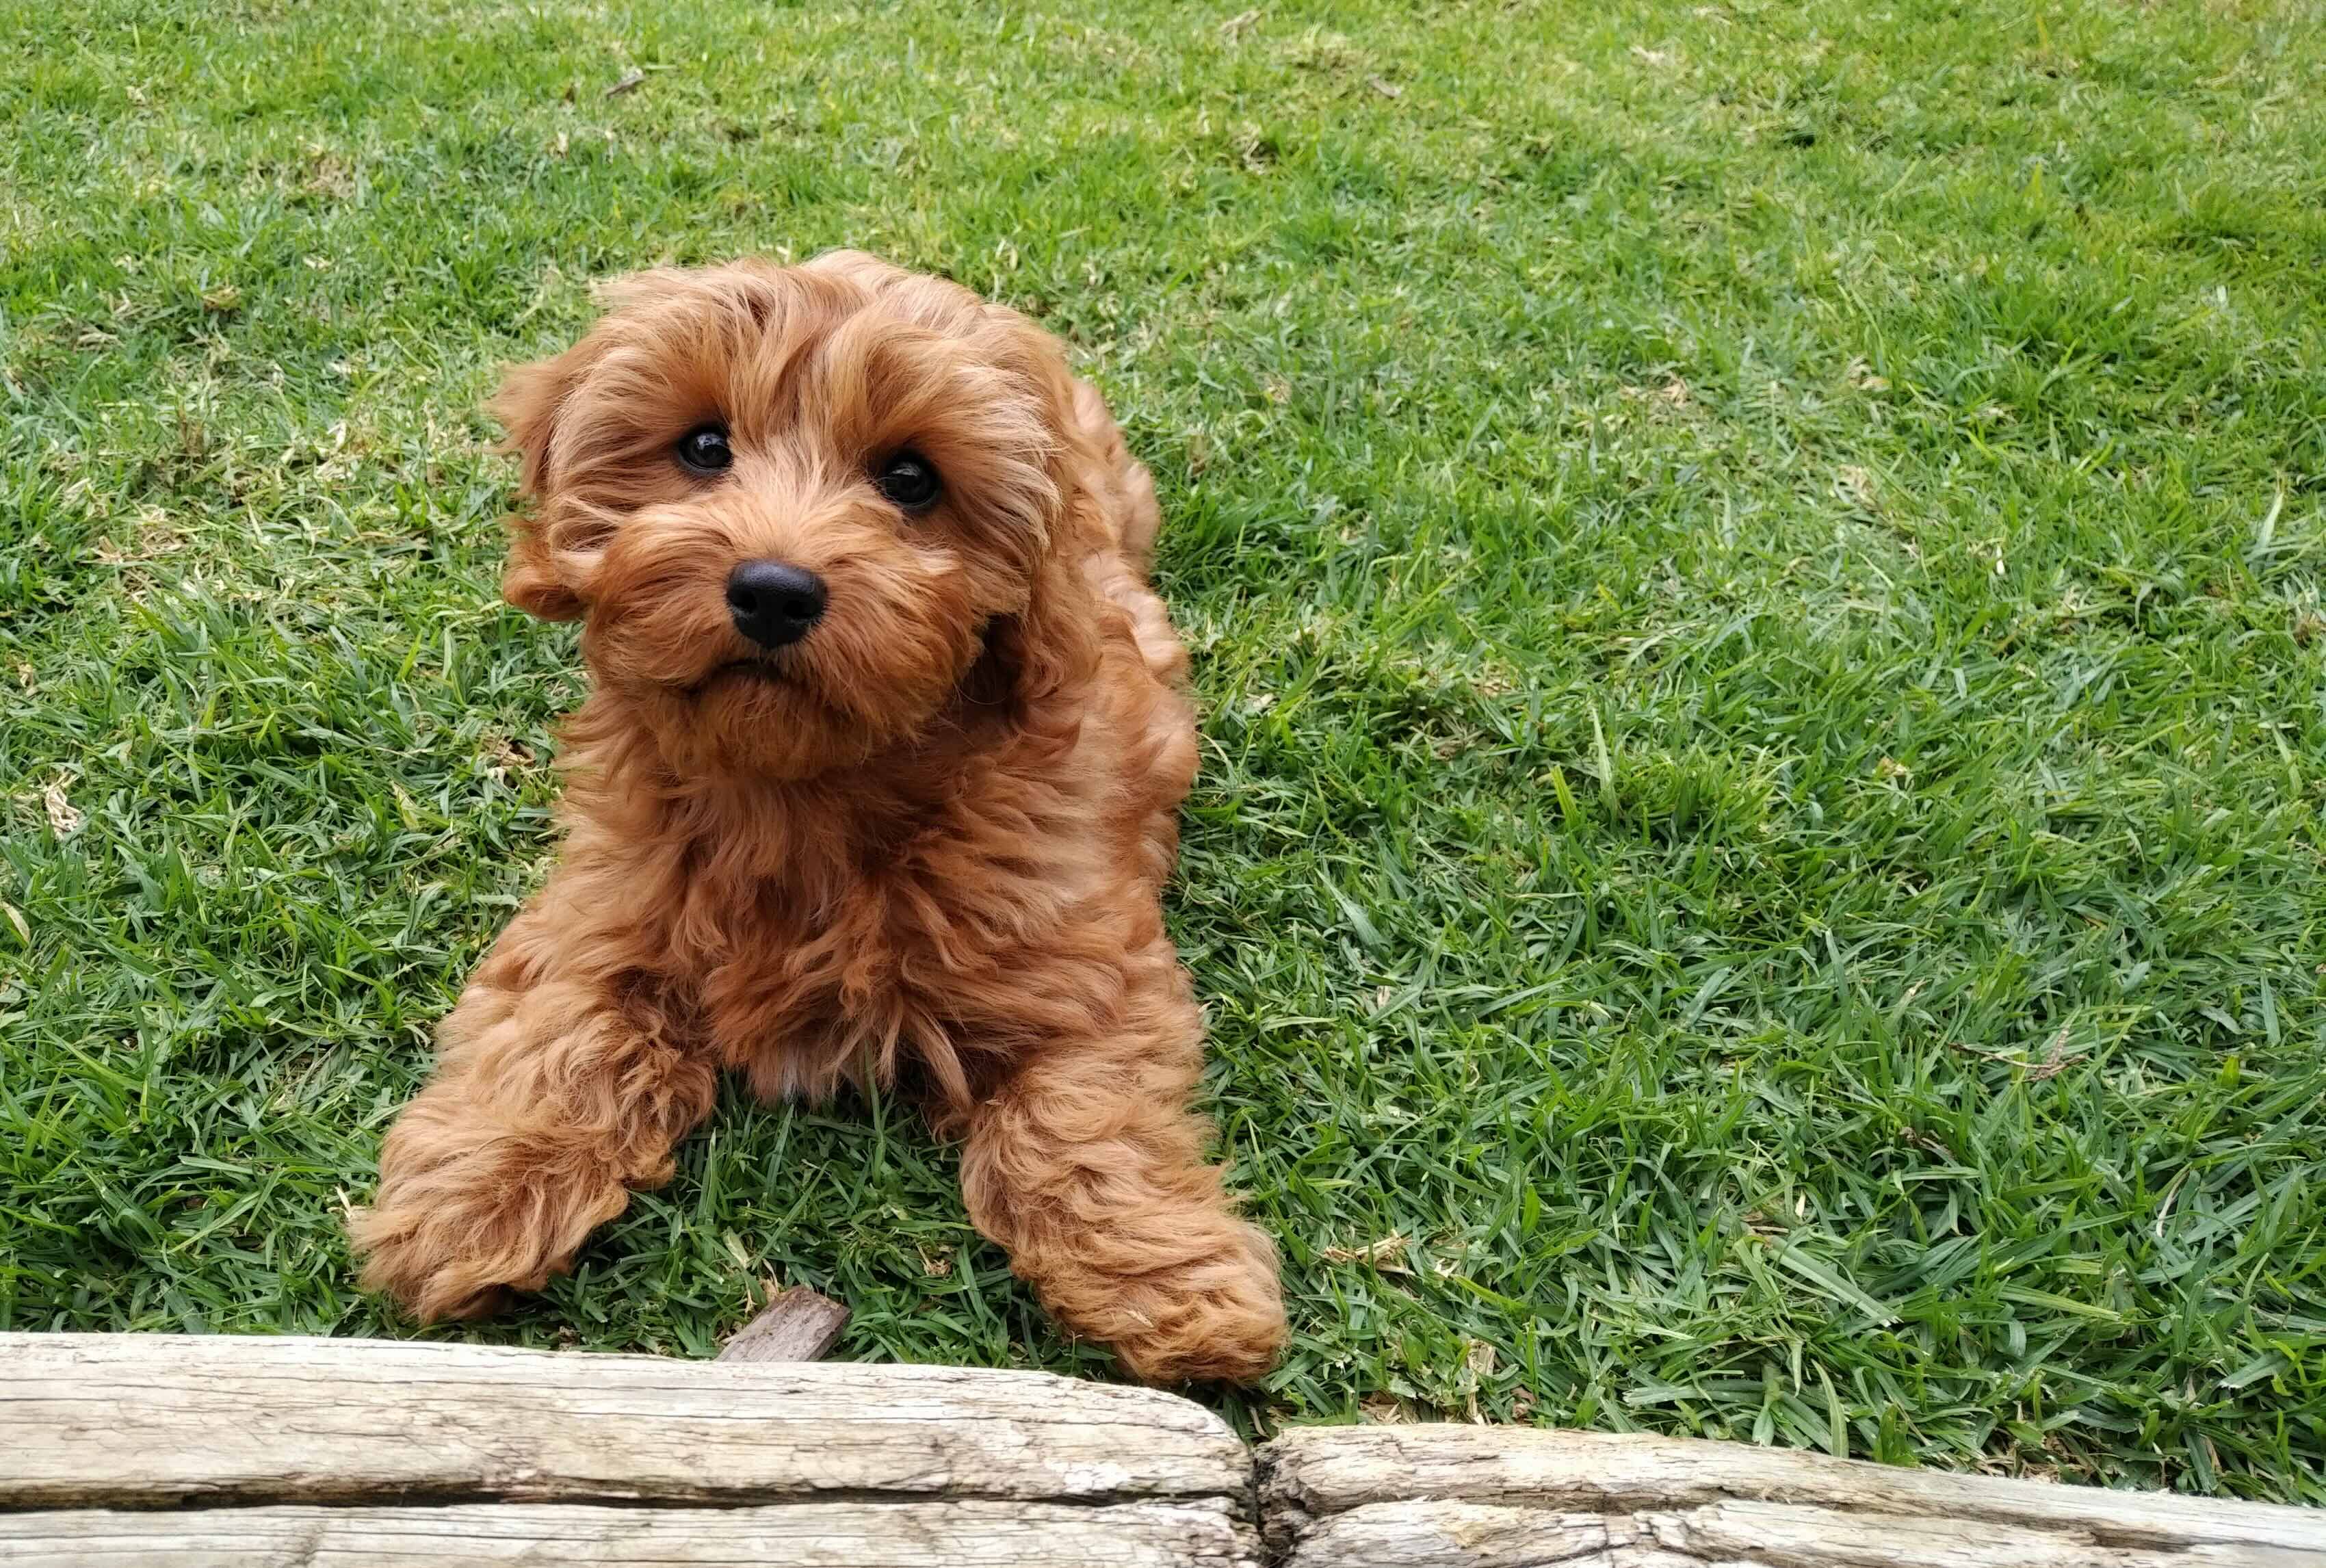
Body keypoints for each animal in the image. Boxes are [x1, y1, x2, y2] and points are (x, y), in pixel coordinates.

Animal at [344, 253, 1293, 1377]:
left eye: (912, 480)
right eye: (704, 447)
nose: (773, 590)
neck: (801, 792)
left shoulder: (1083, 959)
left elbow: (1088, 1112)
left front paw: (1166, 1272)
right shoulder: (598, 905)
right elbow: (557, 1030)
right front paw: (475, 1190)